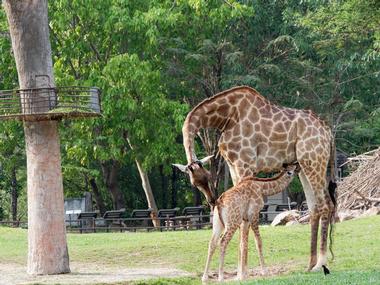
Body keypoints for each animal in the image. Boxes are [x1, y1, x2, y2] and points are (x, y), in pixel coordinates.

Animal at [174, 85, 336, 272]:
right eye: (195, 183)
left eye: (208, 176)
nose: (212, 200)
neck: (226, 116)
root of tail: (328, 133)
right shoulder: (233, 166)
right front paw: (239, 269)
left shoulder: (245, 163)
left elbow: (243, 219)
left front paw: (242, 271)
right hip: (303, 165)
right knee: (314, 206)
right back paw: (310, 264)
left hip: (314, 161)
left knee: (325, 205)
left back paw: (321, 263)